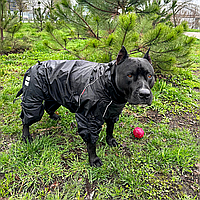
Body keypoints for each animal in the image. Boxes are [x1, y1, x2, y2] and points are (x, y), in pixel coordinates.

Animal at [16, 46, 155, 166]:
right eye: (129, 75)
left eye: (149, 76)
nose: (145, 94)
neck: (107, 84)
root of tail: (34, 66)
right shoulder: (90, 120)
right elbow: (91, 143)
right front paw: (93, 159)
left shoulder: (113, 114)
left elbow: (110, 129)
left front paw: (110, 141)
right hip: (33, 102)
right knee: (26, 120)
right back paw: (26, 136)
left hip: (55, 96)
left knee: (48, 107)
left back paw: (54, 116)